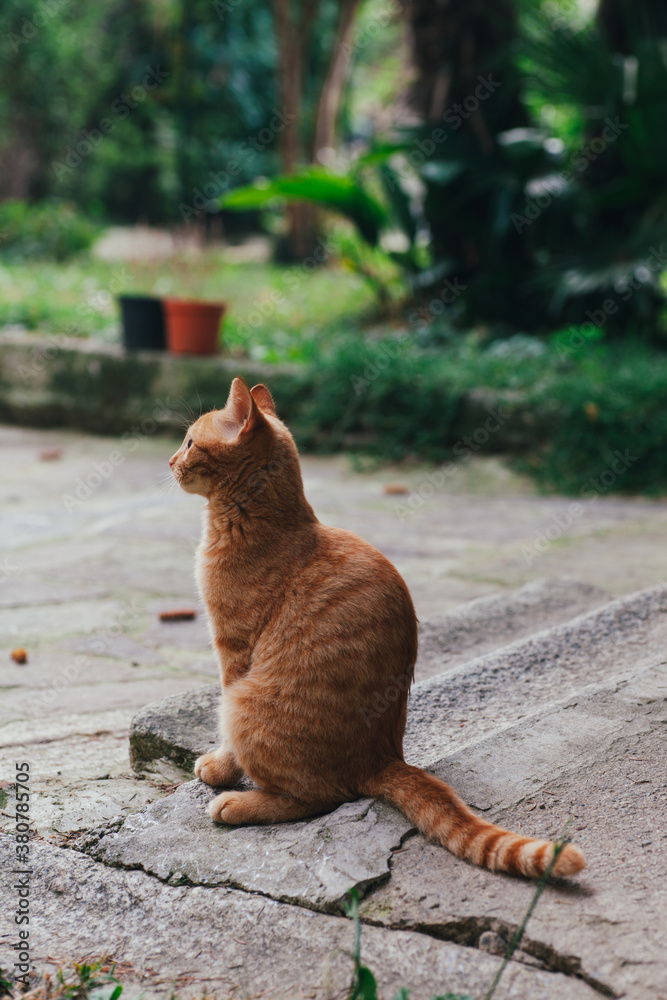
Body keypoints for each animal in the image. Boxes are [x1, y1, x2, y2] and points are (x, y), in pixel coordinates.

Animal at [171, 378, 584, 880]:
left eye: (189, 442)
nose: (169, 462)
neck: (264, 523)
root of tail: (383, 758)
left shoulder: (234, 654)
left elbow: (229, 743)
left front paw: (218, 769)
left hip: (245, 704)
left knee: (317, 798)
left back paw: (237, 804)